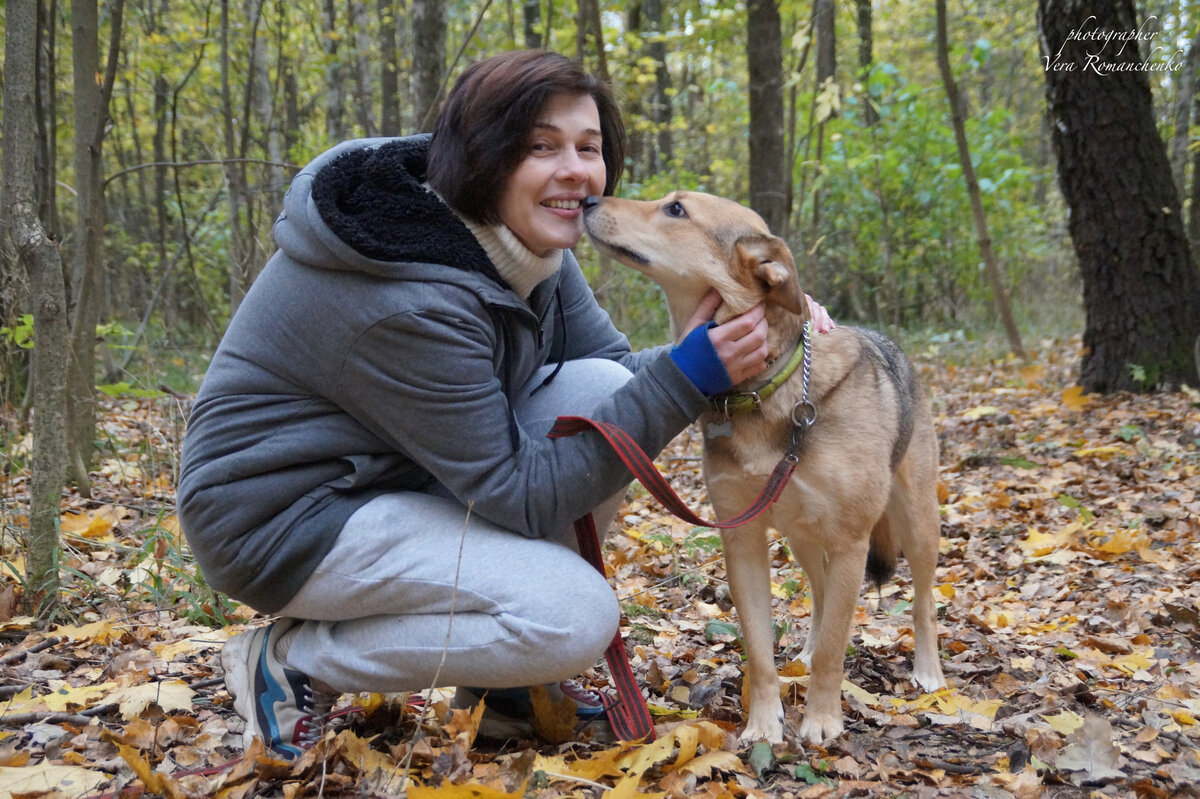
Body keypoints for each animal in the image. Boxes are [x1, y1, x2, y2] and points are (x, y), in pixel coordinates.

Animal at [583, 191, 945, 739]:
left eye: (675, 209)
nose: (586, 199)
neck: (763, 388)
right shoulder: (743, 541)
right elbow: (758, 648)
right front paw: (764, 726)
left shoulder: (851, 542)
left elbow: (836, 649)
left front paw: (821, 721)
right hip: (801, 537)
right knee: (821, 593)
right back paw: (809, 650)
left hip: (916, 523)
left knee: (923, 602)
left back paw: (928, 671)